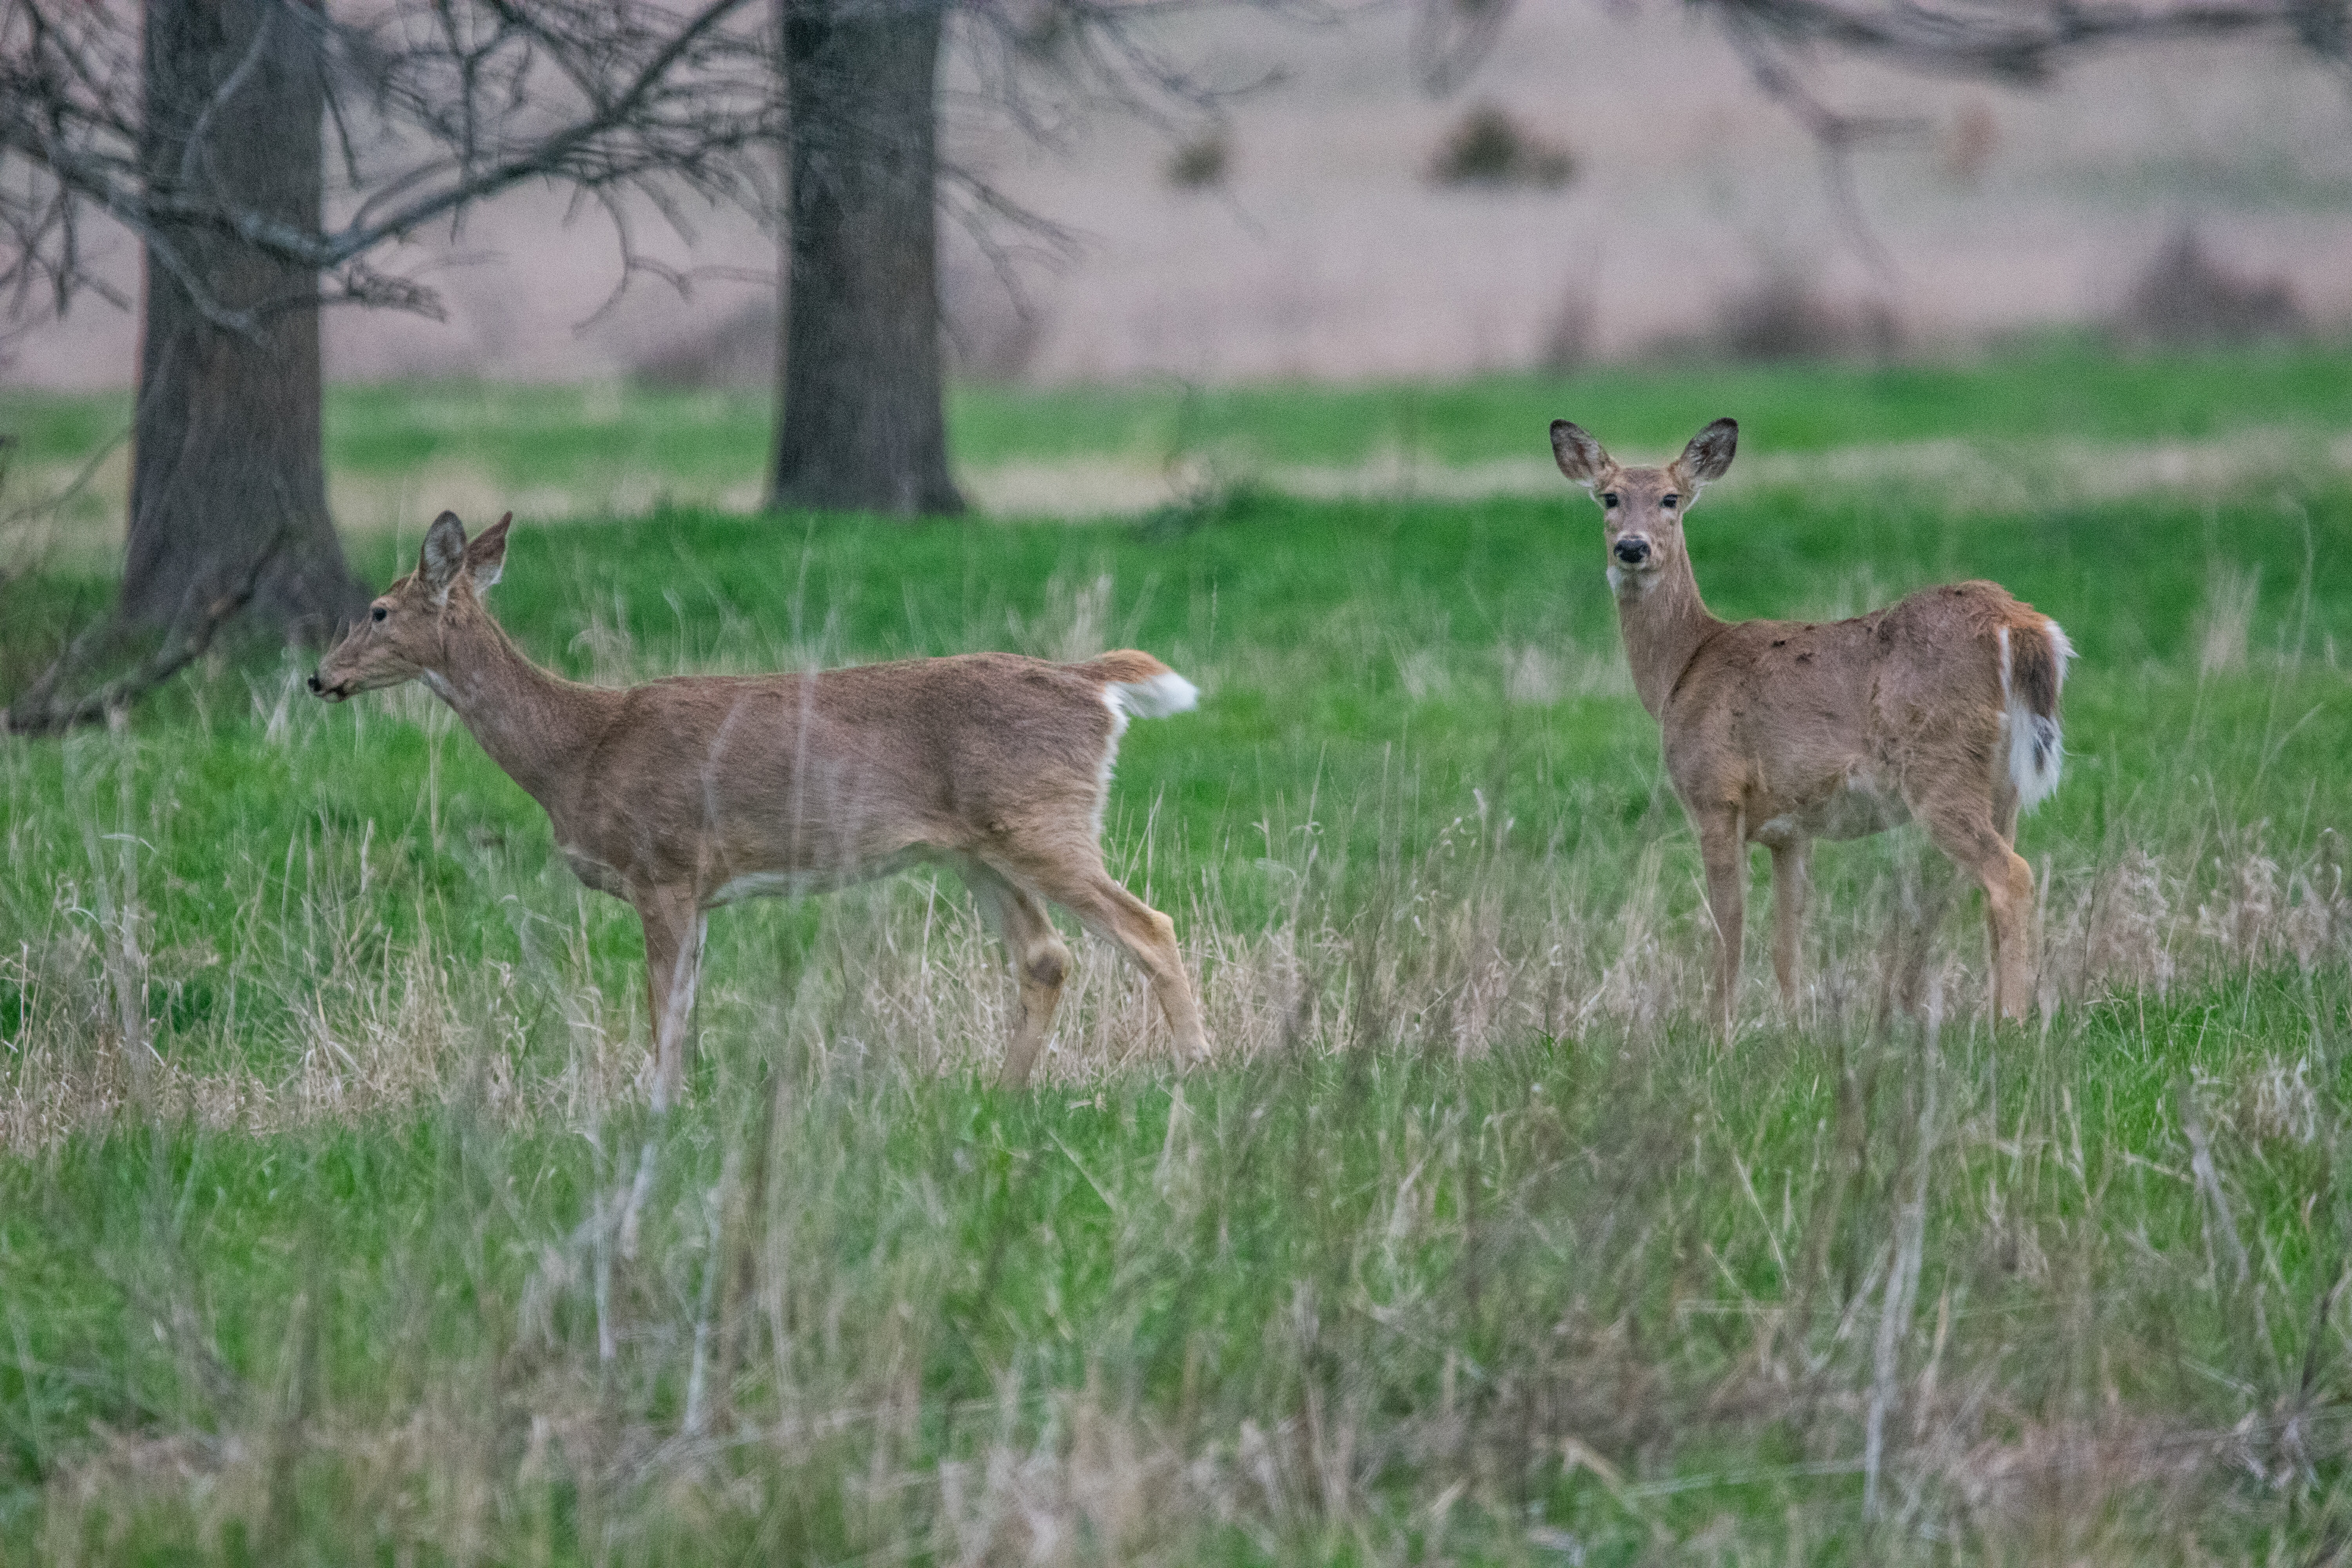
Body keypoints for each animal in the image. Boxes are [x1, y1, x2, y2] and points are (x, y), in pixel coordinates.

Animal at [309, 510, 1210, 1106]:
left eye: (379, 611)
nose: (320, 678)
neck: (578, 750)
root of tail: (1091, 684)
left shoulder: (665, 865)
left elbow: (664, 1008)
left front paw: (659, 1111)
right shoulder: (697, 888)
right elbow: (684, 1005)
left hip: (1043, 821)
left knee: (1148, 926)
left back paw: (1198, 1068)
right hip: (980, 848)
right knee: (1046, 957)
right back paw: (1001, 1092)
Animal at [1549, 417, 2073, 1031]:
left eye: (1670, 498)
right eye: (1609, 497)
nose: (1632, 547)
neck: (1683, 667)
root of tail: (2019, 622)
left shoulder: (1714, 793)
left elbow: (1729, 924)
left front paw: (1718, 1028)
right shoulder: (1791, 829)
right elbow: (1787, 938)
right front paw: (1794, 1025)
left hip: (1940, 764)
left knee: (2009, 875)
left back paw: (2011, 1022)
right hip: (2004, 782)